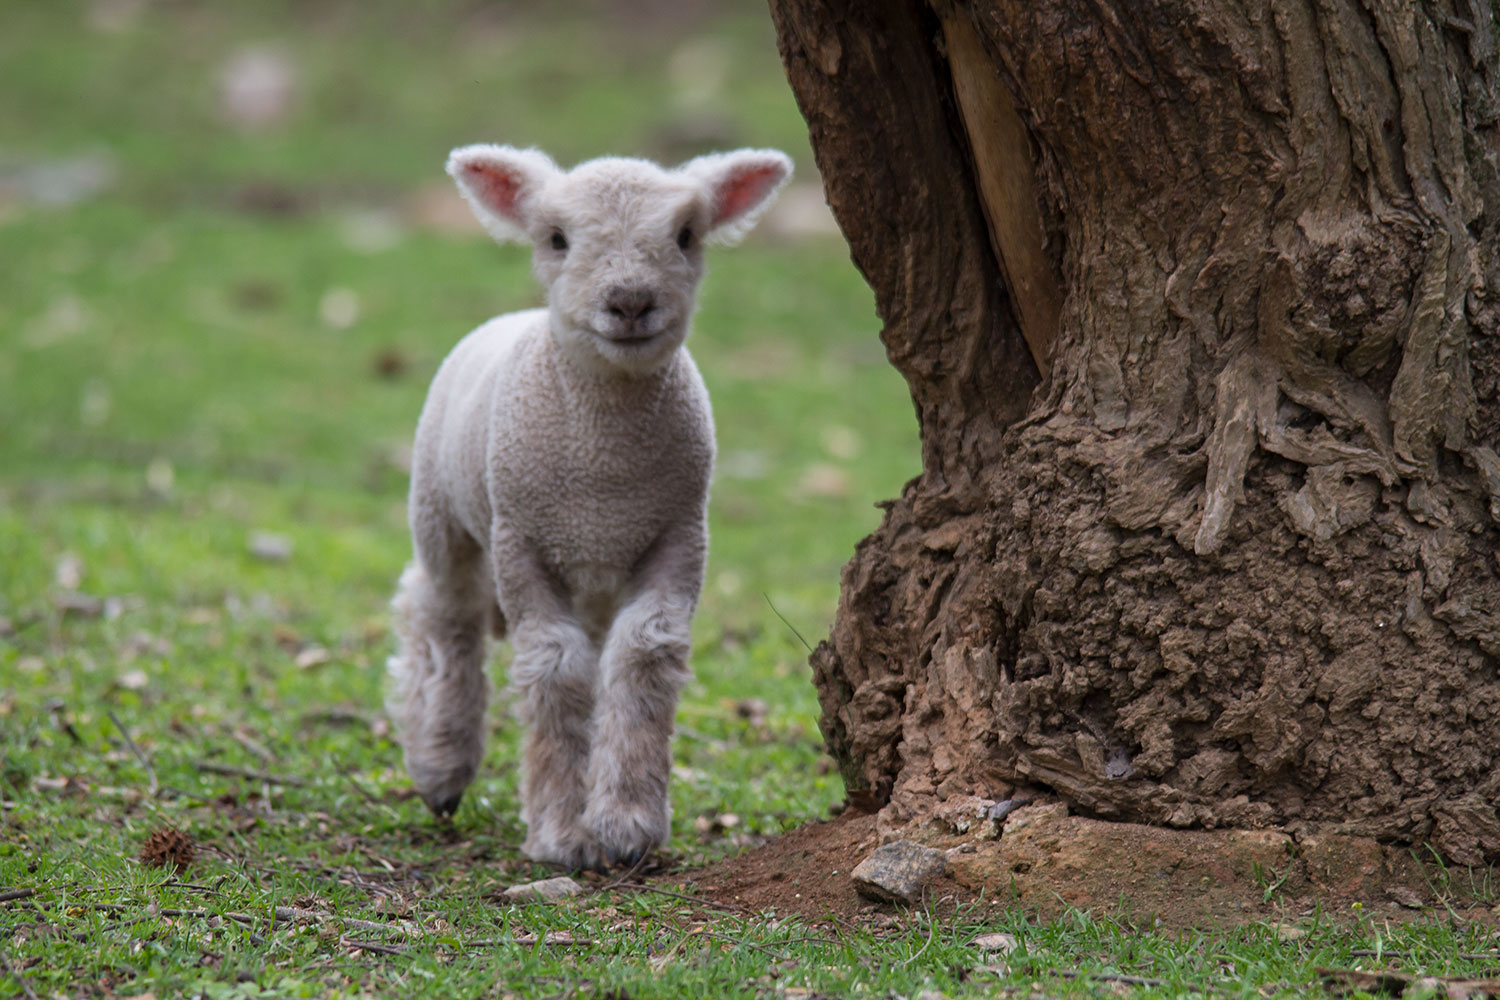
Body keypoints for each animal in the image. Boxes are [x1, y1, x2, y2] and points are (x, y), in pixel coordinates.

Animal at [384, 142, 798, 869]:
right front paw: (560, 835)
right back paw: (440, 764)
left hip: (595, 570)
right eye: (556, 238)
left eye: (686, 236)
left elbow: (643, 655)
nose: (630, 301)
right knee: (442, 615)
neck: (603, 472)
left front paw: (628, 822)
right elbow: (554, 667)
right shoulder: (522, 541)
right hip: (444, 515)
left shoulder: (677, 534)